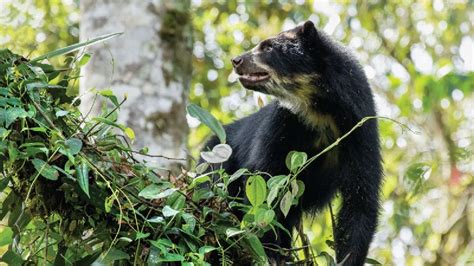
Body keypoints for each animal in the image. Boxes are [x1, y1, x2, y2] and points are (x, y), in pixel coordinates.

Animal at [202, 21, 384, 266]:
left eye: (268, 47)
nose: (236, 60)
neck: (320, 111)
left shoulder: (360, 132)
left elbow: (360, 199)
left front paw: (346, 259)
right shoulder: (283, 124)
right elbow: (264, 180)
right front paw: (270, 252)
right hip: (216, 162)